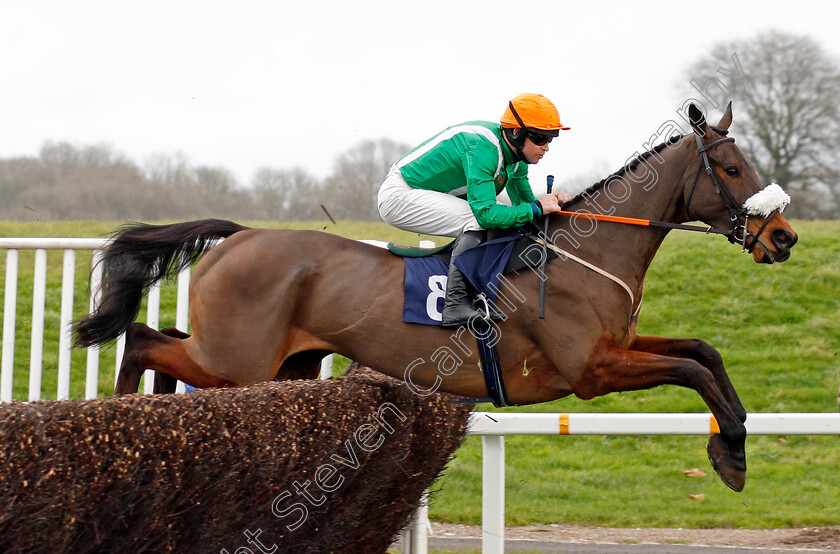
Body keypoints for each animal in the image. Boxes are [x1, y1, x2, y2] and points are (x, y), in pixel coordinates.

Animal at [70, 102, 796, 488]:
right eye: (731, 167)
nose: (784, 236)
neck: (587, 255)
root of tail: (242, 235)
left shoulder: (619, 345)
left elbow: (703, 353)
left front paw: (733, 442)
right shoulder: (591, 370)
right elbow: (689, 370)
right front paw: (731, 454)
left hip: (282, 365)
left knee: (166, 351)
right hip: (237, 360)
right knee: (145, 340)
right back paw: (119, 415)